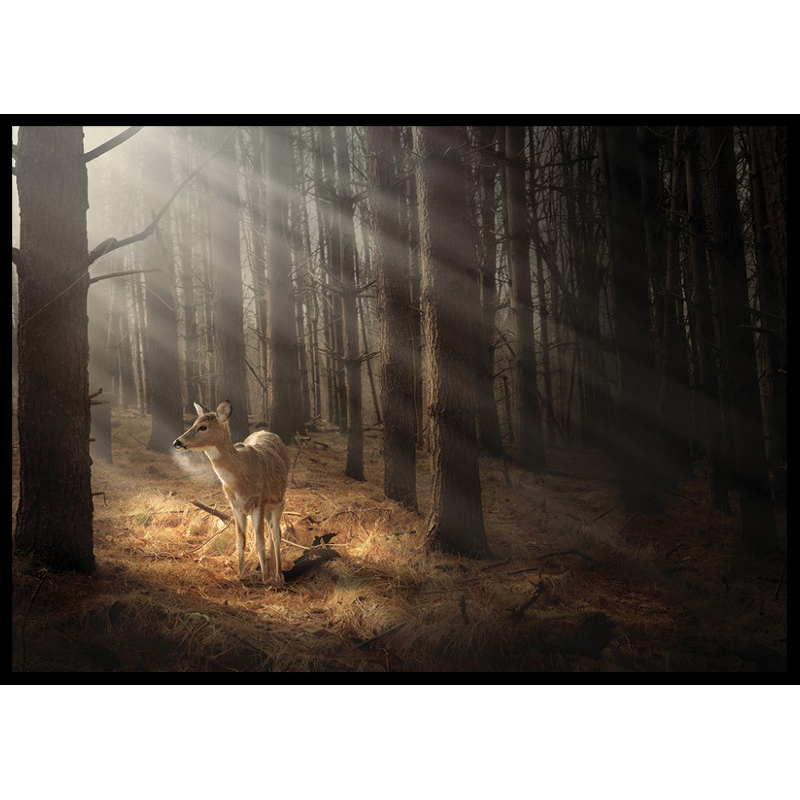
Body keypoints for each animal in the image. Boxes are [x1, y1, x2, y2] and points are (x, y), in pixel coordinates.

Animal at [173, 401, 290, 585]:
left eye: (203, 427)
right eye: (193, 423)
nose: (177, 441)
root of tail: (268, 432)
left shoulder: (259, 502)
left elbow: (260, 541)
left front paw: (264, 579)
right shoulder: (235, 506)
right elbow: (240, 540)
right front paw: (241, 575)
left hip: (279, 501)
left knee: (276, 534)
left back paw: (278, 575)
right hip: (267, 509)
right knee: (272, 532)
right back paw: (273, 572)